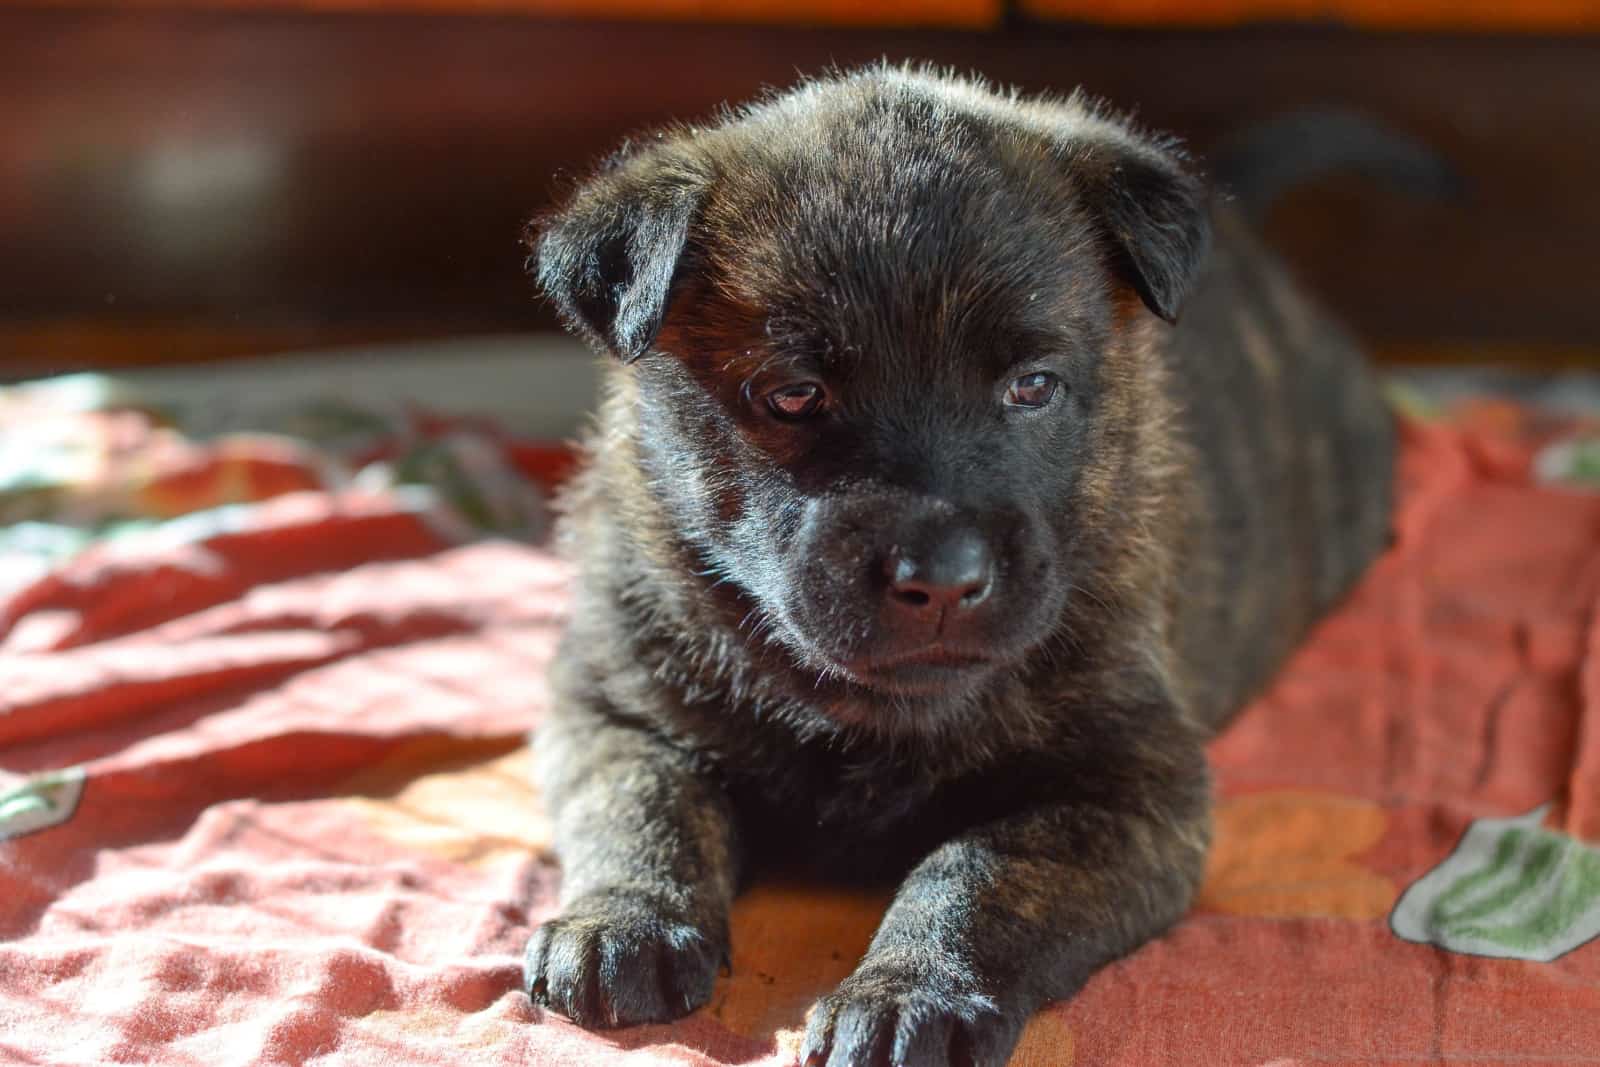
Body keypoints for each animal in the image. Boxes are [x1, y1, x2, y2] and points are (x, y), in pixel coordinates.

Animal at [518, 66, 1395, 1067]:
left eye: (1033, 387)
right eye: (794, 394)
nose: (942, 577)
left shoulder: (1129, 789)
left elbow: (976, 869)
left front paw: (909, 992)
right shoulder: (610, 702)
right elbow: (641, 802)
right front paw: (619, 924)